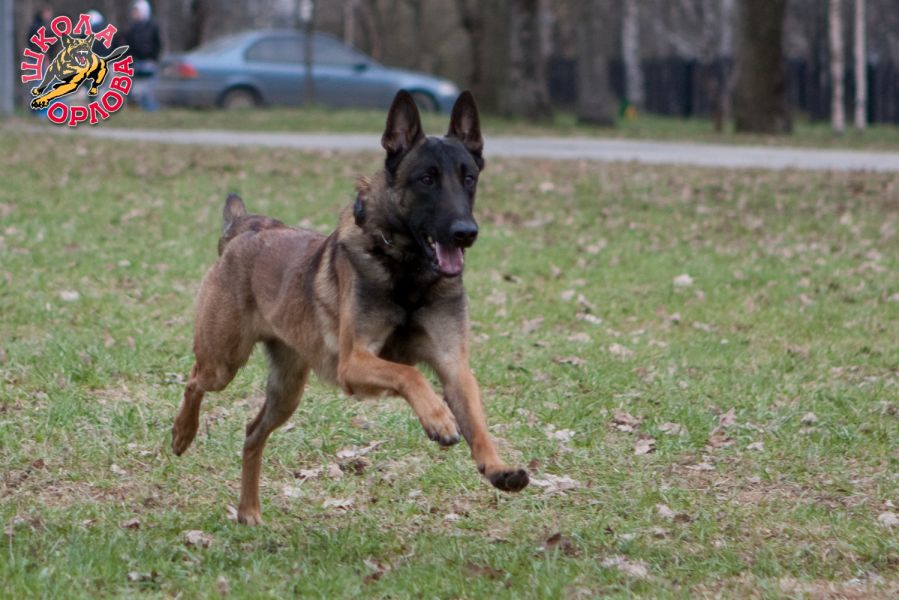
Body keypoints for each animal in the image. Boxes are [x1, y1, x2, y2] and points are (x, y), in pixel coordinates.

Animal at [171, 91, 529, 525]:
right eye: (426, 179)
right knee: (194, 380)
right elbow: (410, 374)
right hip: (223, 361)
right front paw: (439, 417)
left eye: (469, 179)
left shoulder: (453, 365)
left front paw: (496, 465)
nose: (465, 233)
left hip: (287, 390)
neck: (407, 273)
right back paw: (182, 433)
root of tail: (247, 229)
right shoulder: (354, 363)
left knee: (252, 432)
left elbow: (475, 418)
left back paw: (249, 510)